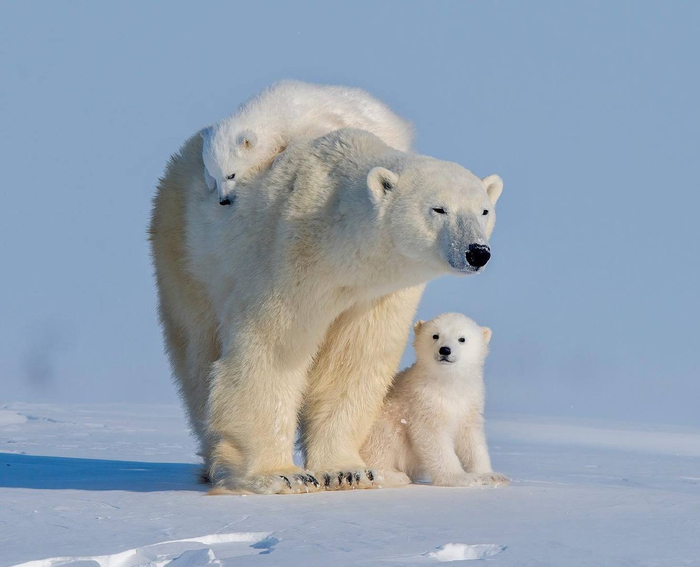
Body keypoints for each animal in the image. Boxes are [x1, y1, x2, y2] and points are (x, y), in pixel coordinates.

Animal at [200, 80, 414, 205]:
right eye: (216, 174)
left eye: (231, 175)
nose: (223, 200)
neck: (274, 108)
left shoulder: (305, 120)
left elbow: (316, 132)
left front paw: (279, 158)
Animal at [361, 313, 510, 488]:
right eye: (435, 335)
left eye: (462, 338)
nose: (445, 350)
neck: (448, 384)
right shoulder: (423, 402)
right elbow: (433, 437)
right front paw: (460, 478)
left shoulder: (470, 402)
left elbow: (472, 439)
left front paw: (491, 475)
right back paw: (394, 475)